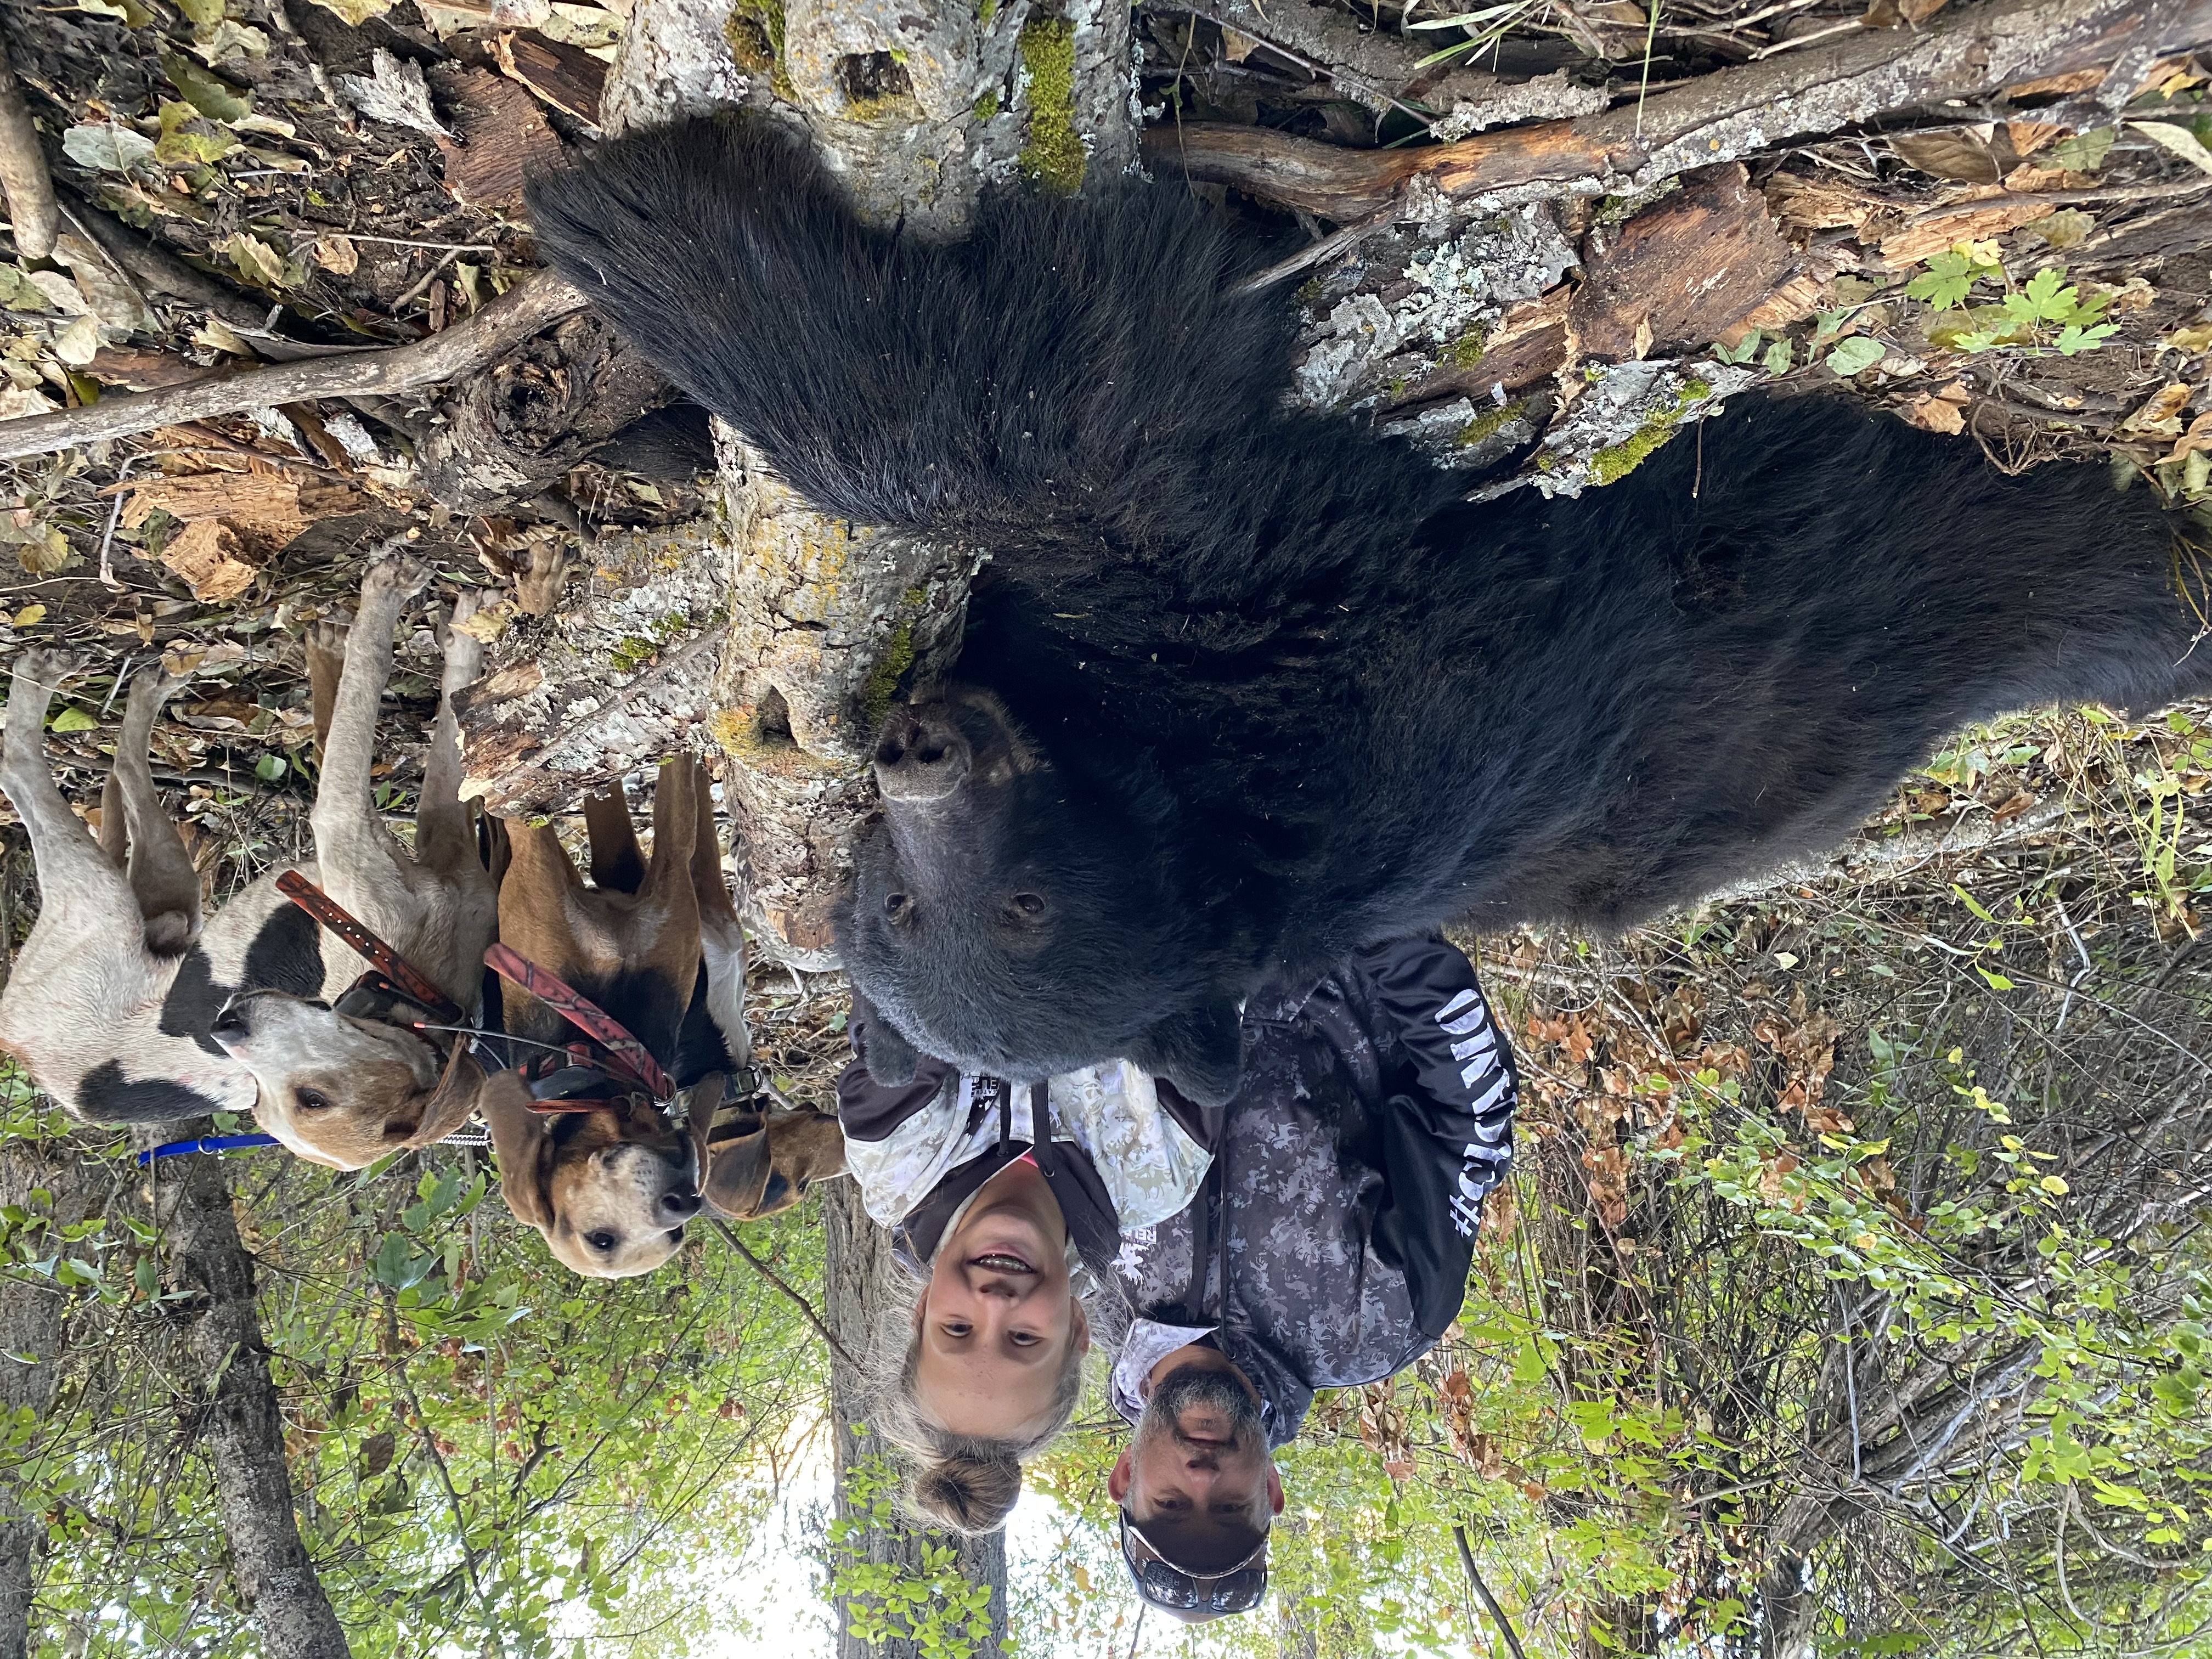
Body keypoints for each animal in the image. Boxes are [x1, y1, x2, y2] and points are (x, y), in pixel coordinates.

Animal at [527, 116, 2211, 1108]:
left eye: (1019, 909)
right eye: (900, 910)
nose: (916, 754)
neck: (1171, 784)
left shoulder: (1335, 677)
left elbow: (1082, 432)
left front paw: (654, 237)